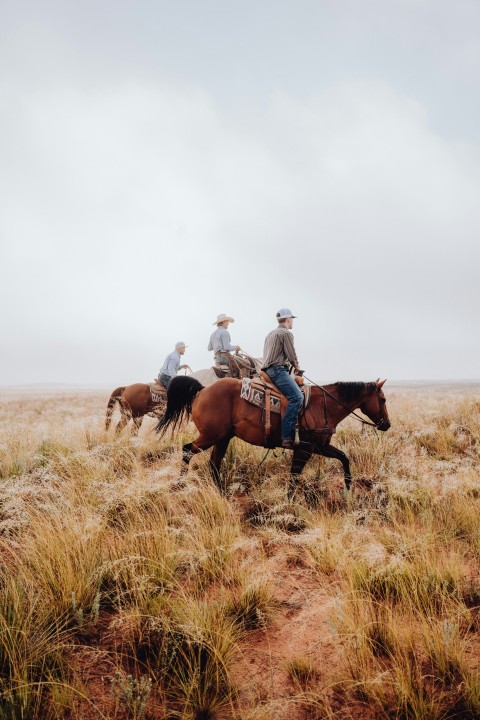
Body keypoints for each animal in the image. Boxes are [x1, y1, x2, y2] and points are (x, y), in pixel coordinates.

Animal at [156, 376, 392, 500]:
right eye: (382, 399)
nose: (386, 425)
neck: (322, 407)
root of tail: (203, 390)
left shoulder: (321, 447)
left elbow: (344, 458)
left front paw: (348, 488)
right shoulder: (304, 449)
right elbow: (294, 476)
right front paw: (289, 502)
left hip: (223, 438)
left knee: (214, 463)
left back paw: (221, 493)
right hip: (210, 436)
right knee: (187, 450)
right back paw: (179, 484)